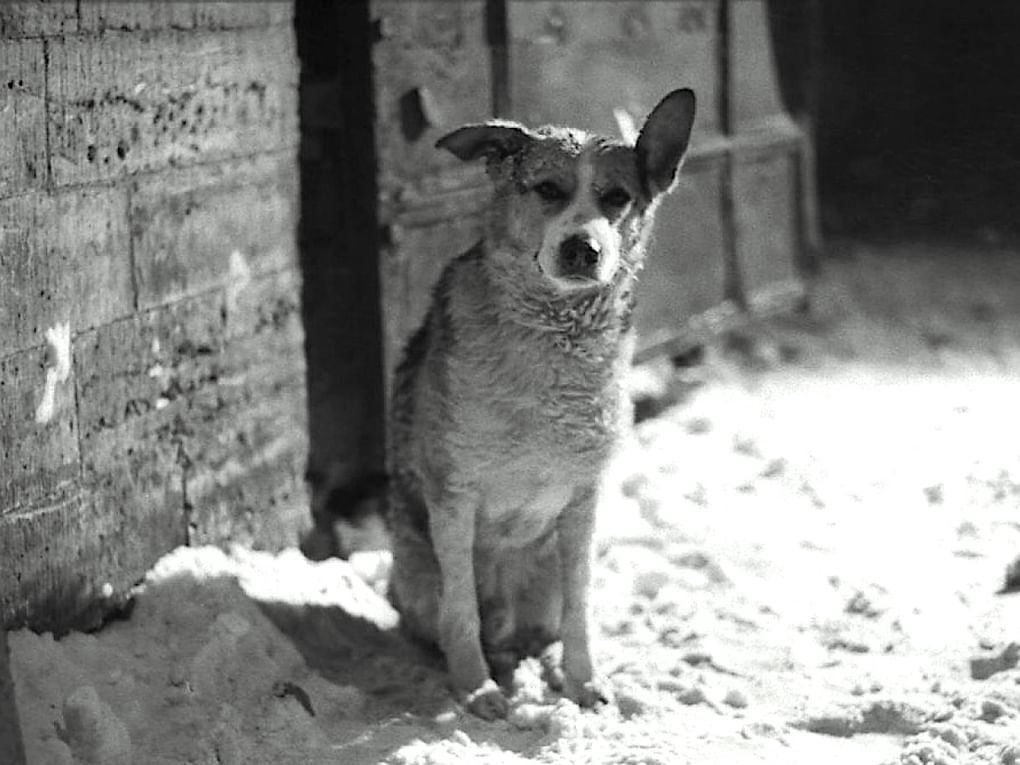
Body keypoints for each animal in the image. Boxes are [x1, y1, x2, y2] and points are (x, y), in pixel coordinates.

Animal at [385, 88, 697, 718]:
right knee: (444, 621)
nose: (583, 248)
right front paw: (476, 688)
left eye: (617, 198)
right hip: (414, 566)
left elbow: (580, 609)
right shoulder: (453, 495)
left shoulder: (582, 504)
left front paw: (583, 681)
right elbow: (462, 609)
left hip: (543, 578)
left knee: (546, 628)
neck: (555, 338)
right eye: (548, 189)